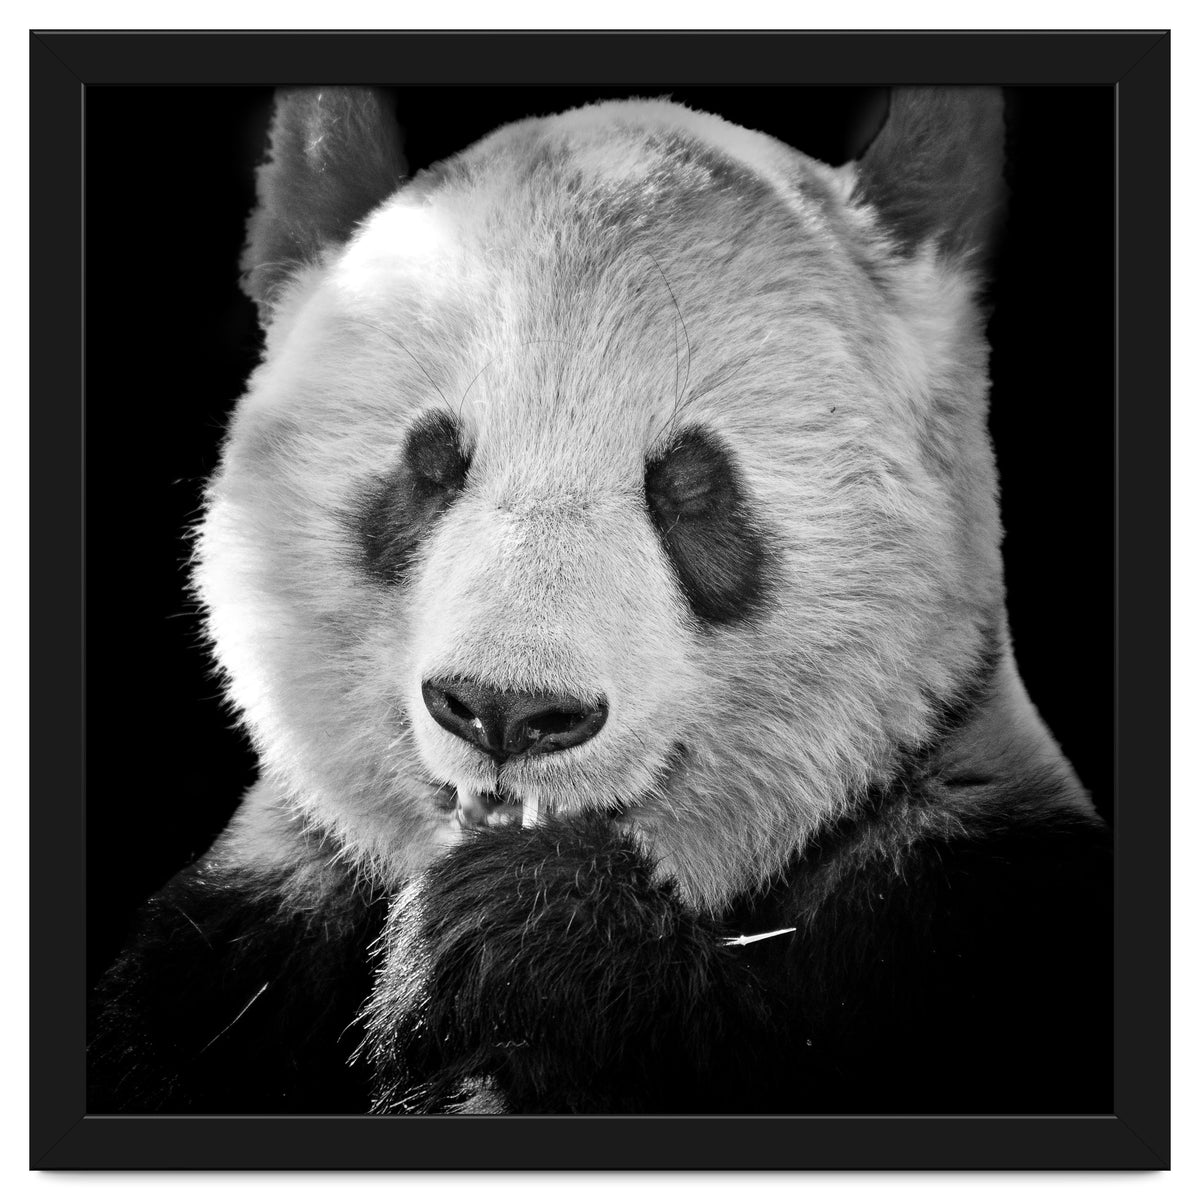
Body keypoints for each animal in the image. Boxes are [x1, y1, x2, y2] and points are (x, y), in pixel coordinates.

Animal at [89, 86, 1112, 1116]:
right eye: (431, 465)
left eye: (690, 487)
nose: (506, 711)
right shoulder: (239, 944)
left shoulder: (964, 901)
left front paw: (526, 934)